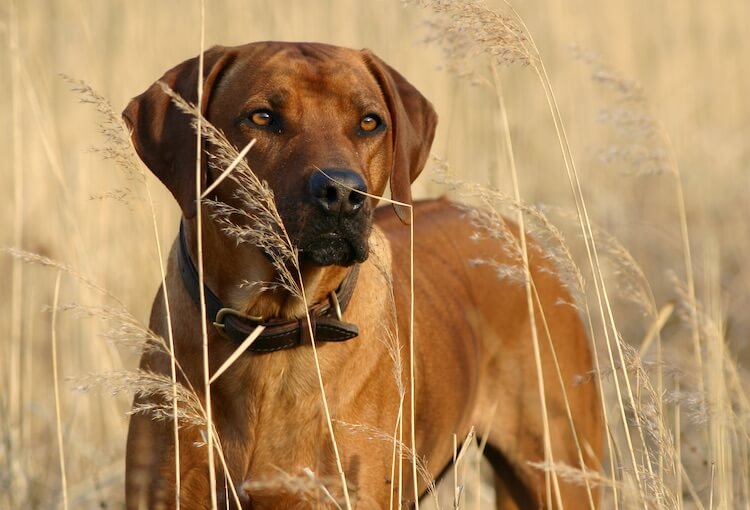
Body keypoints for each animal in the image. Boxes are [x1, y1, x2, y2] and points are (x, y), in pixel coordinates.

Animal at [123, 41, 604, 508]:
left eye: (370, 122)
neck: (273, 325)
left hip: (562, 471)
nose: (341, 193)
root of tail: (518, 236)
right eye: (262, 117)